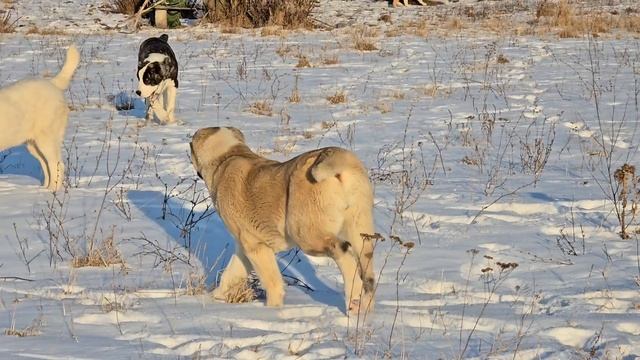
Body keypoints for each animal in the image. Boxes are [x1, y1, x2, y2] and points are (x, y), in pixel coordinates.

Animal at [0, 44, 80, 191]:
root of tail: (52, 83)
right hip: (33, 144)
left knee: (57, 165)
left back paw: (52, 192)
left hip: (47, 139)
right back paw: (44, 190)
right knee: (46, 165)